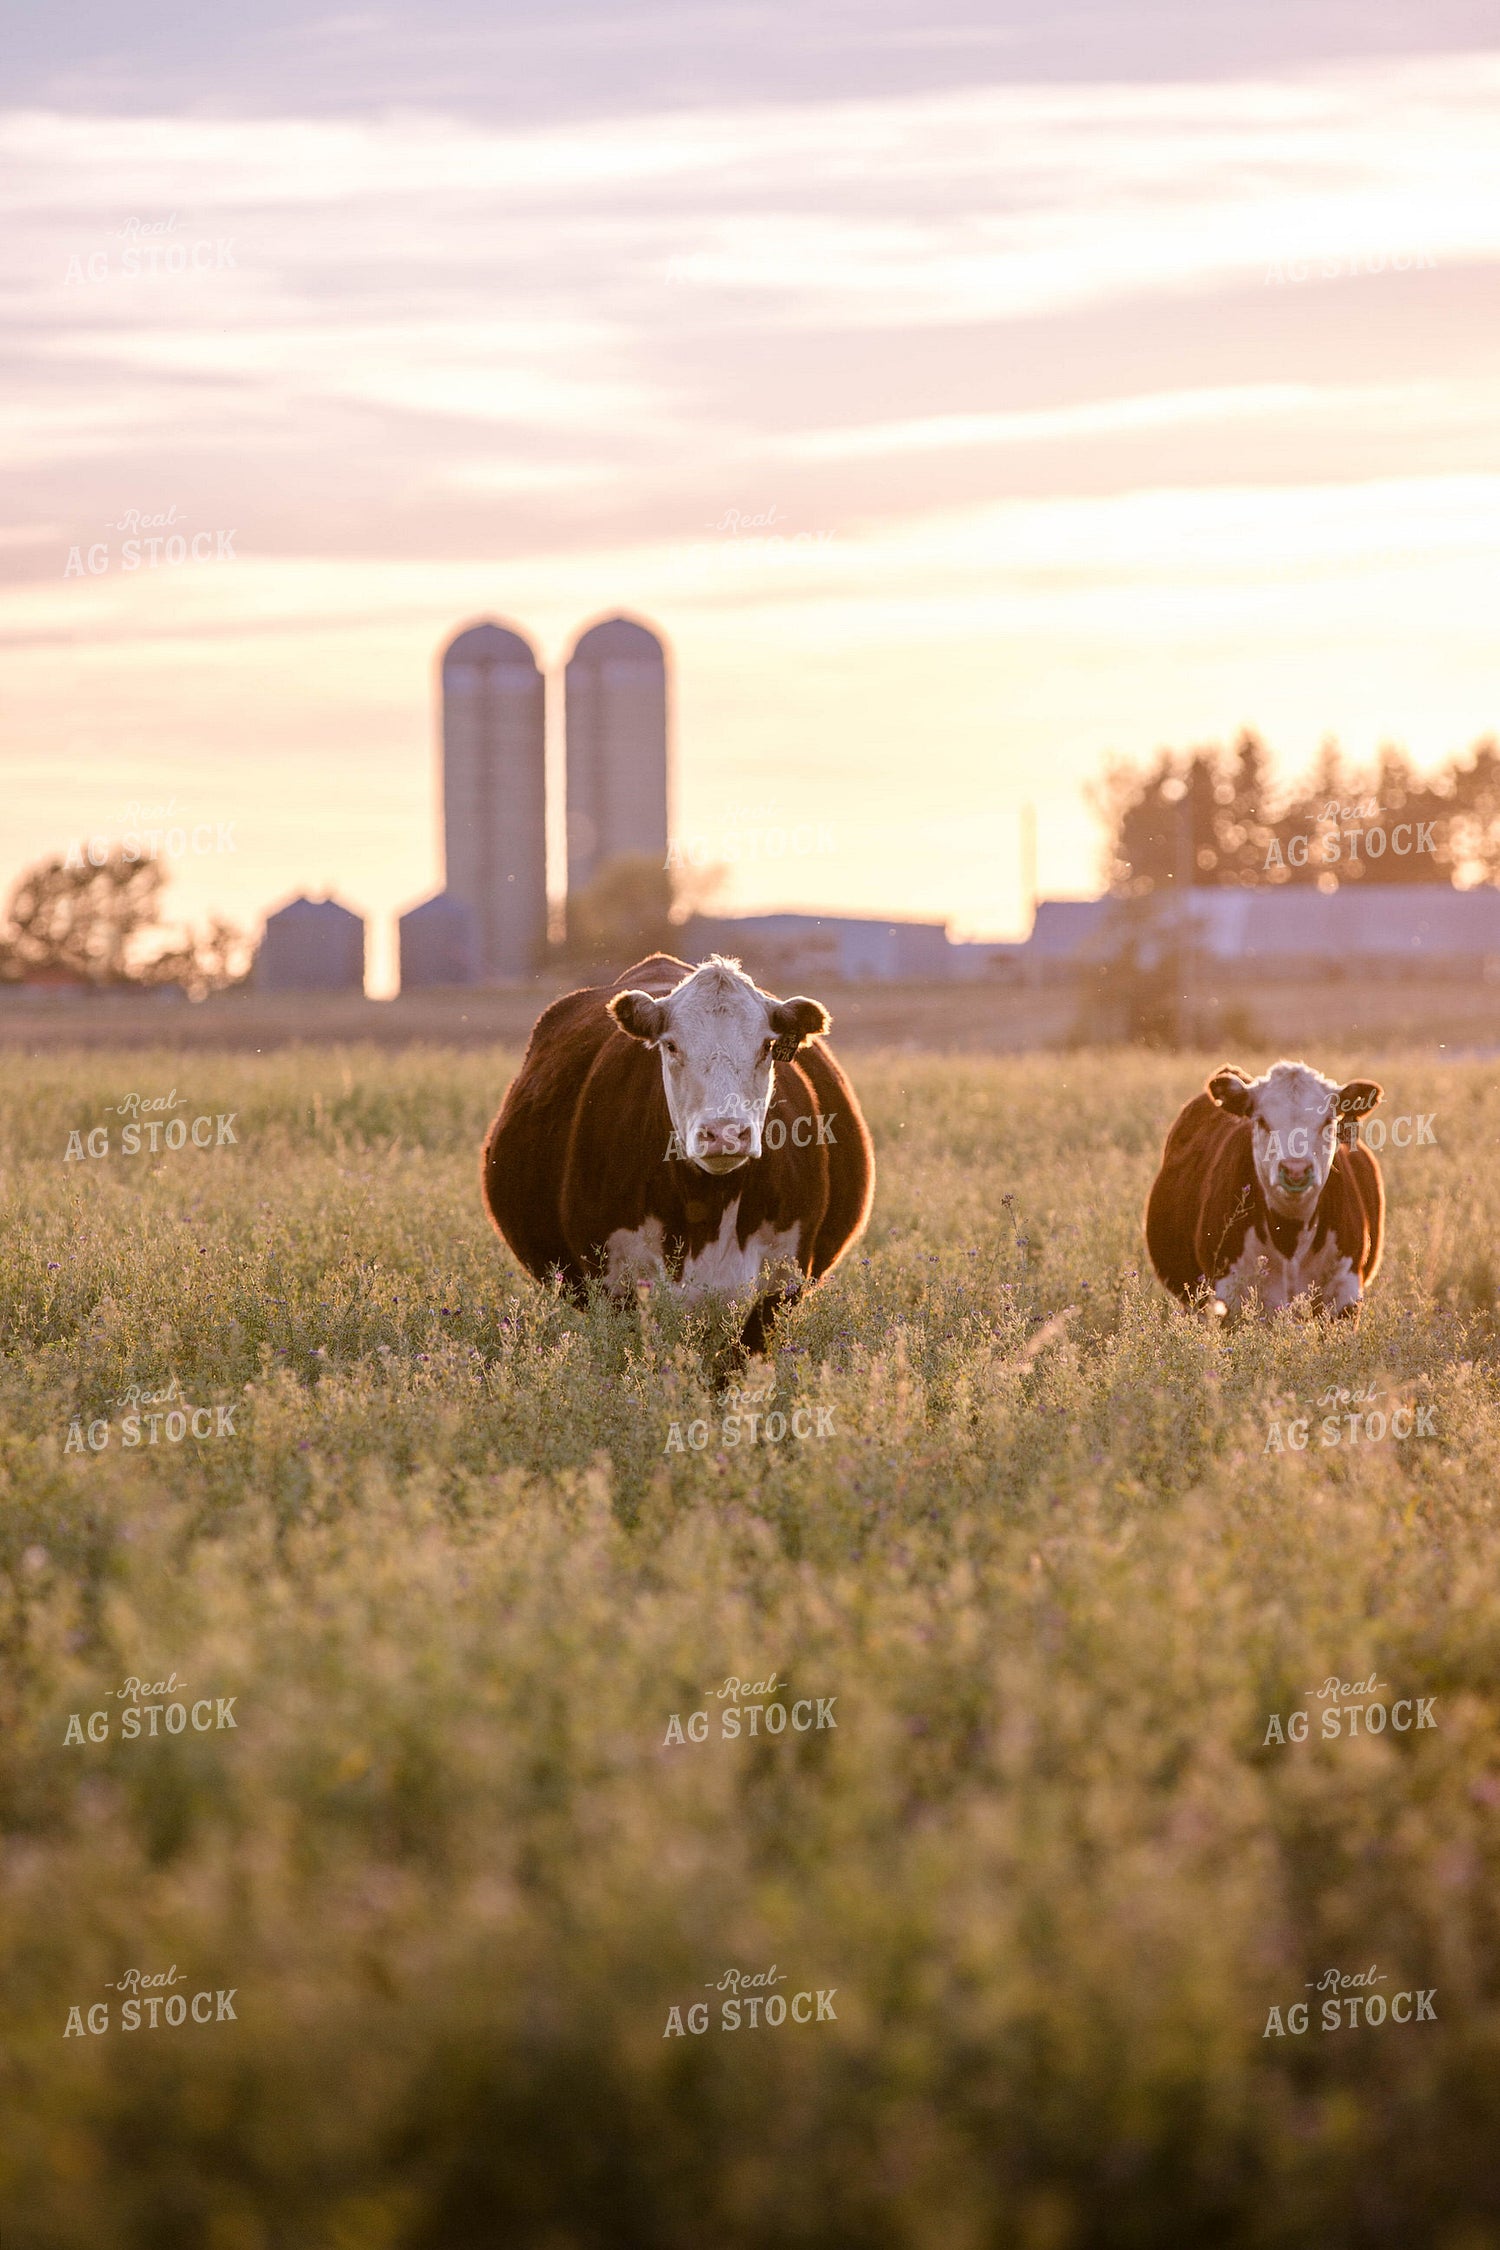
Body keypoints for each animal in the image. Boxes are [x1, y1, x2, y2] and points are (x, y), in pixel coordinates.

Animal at [482, 952, 875, 1352]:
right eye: (670, 1046)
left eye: (767, 1046)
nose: (724, 1132)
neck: (711, 1207)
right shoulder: (616, 1287)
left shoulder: (779, 1287)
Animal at [1145, 1060, 1385, 1320]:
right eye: (1261, 1121)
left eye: (1328, 1121)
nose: (1296, 1170)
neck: (1290, 1237)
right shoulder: (1229, 1296)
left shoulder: (1345, 1295)